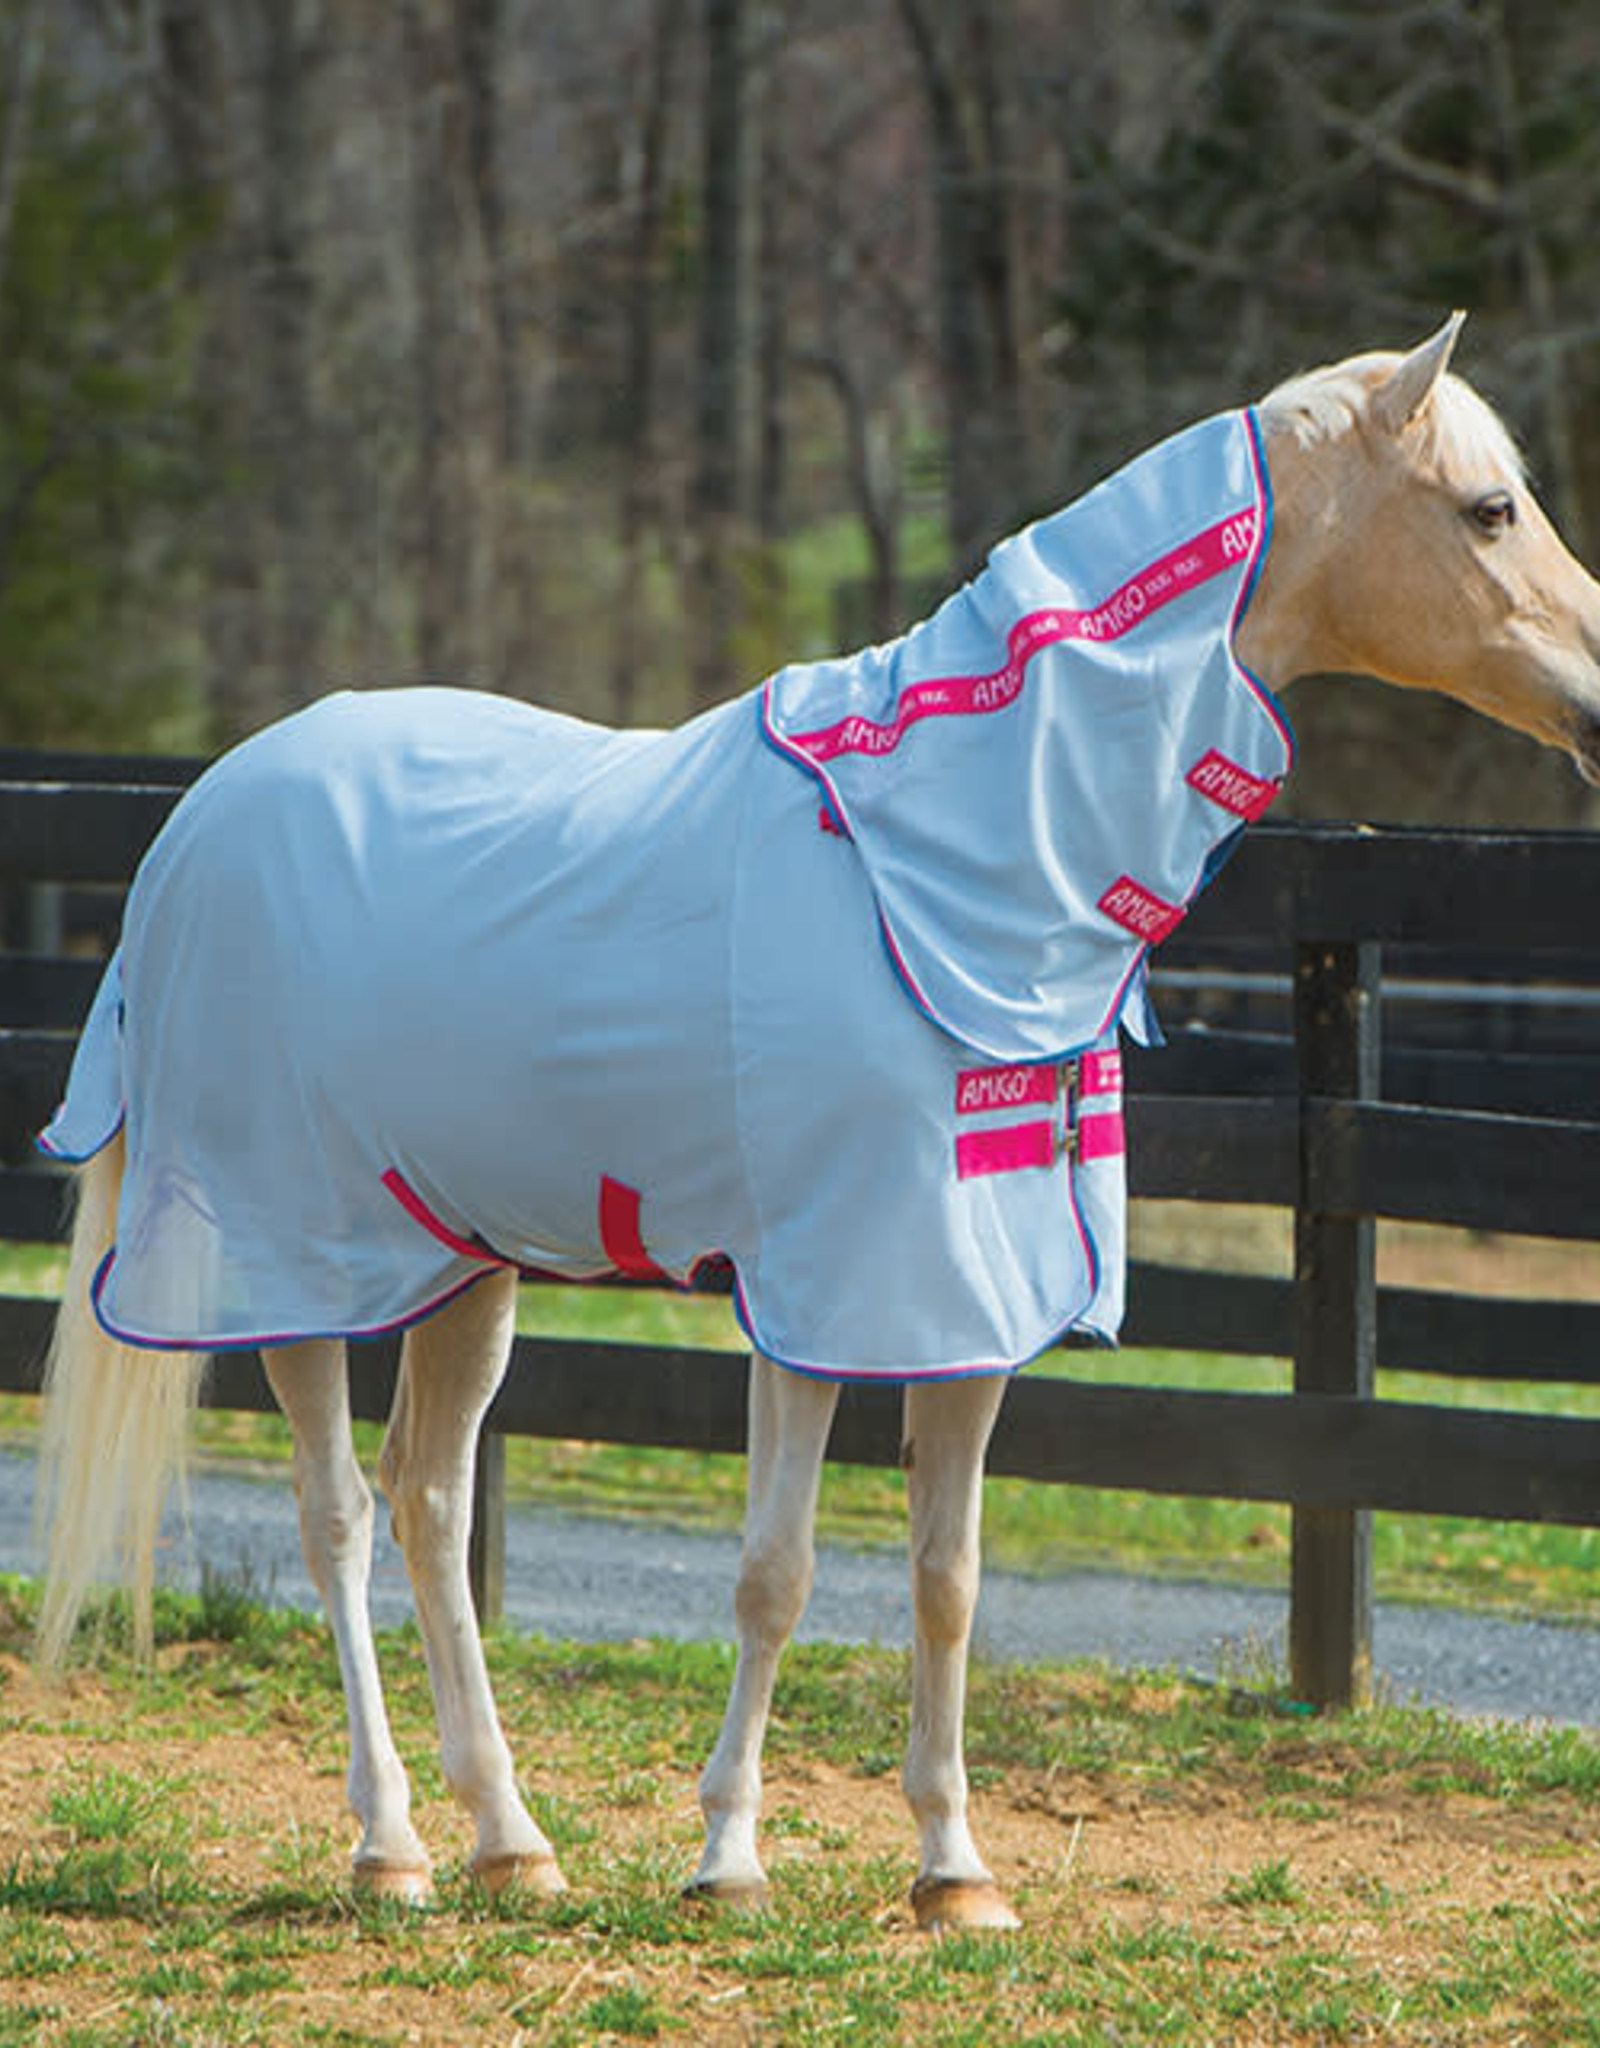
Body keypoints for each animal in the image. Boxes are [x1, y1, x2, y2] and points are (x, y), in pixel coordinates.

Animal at [32, 313, 1600, 1934]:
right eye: (1491, 508)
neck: (945, 863)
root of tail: (197, 824)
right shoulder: (815, 1290)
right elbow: (774, 1571)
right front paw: (729, 1857)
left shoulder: (963, 1300)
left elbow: (947, 1574)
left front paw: (955, 1871)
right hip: (285, 1262)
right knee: (337, 1514)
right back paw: (392, 1842)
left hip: (456, 1261)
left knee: (431, 1502)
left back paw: (510, 1839)